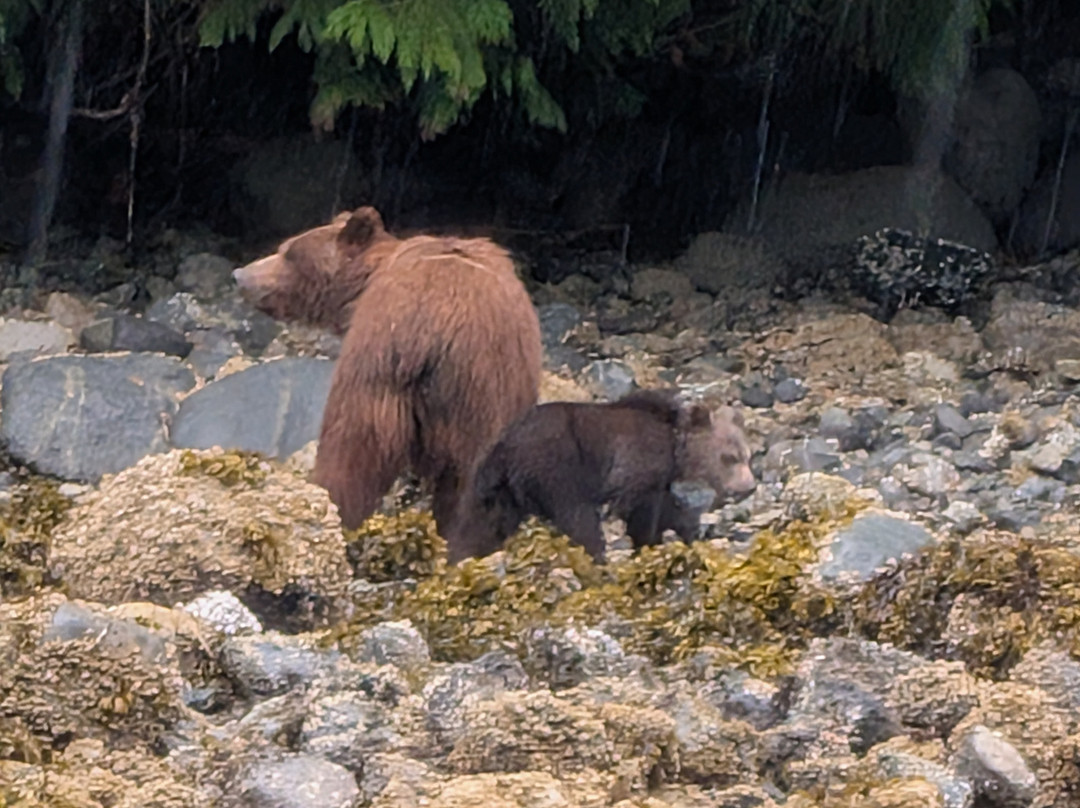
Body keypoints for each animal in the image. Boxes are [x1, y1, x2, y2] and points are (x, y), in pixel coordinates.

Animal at [450, 388, 756, 563]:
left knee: (484, 523)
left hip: (498, 488)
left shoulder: (661, 479)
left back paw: (461, 557)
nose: (748, 487)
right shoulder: (637, 462)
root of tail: (505, 444)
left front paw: (686, 531)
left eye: (748, 455)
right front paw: (647, 543)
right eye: (729, 457)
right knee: (577, 516)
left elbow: (669, 509)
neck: (675, 444)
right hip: (556, 466)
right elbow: (640, 511)